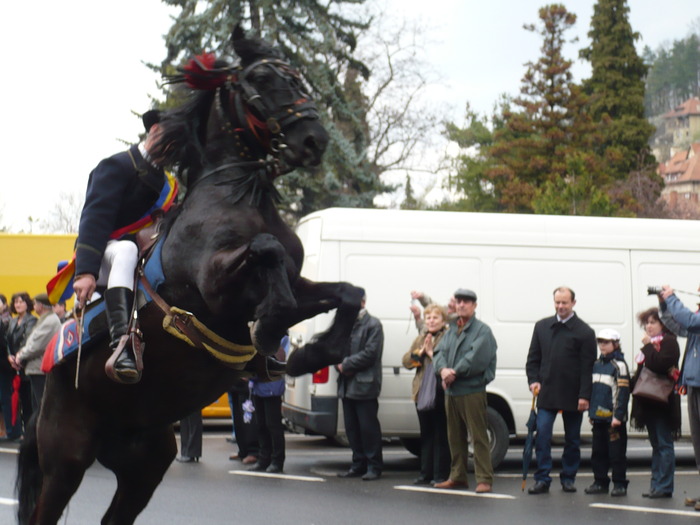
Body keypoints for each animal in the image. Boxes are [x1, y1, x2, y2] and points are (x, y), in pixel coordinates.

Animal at [16, 27, 364, 524]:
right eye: (262, 78)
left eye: (298, 76)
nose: (314, 139)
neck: (235, 195)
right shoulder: (217, 290)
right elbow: (268, 251)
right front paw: (272, 331)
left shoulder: (295, 287)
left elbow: (348, 292)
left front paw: (313, 351)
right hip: (67, 460)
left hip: (146, 464)